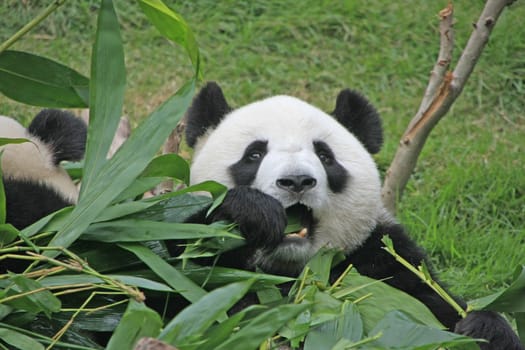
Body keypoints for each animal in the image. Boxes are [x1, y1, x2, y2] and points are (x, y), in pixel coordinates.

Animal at [178, 82, 520, 350]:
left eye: (325, 155)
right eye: (254, 154)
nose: (297, 181)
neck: (294, 271)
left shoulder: (379, 260)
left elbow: (430, 305)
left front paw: (484, 329)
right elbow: (182, 281)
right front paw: (252, 213)